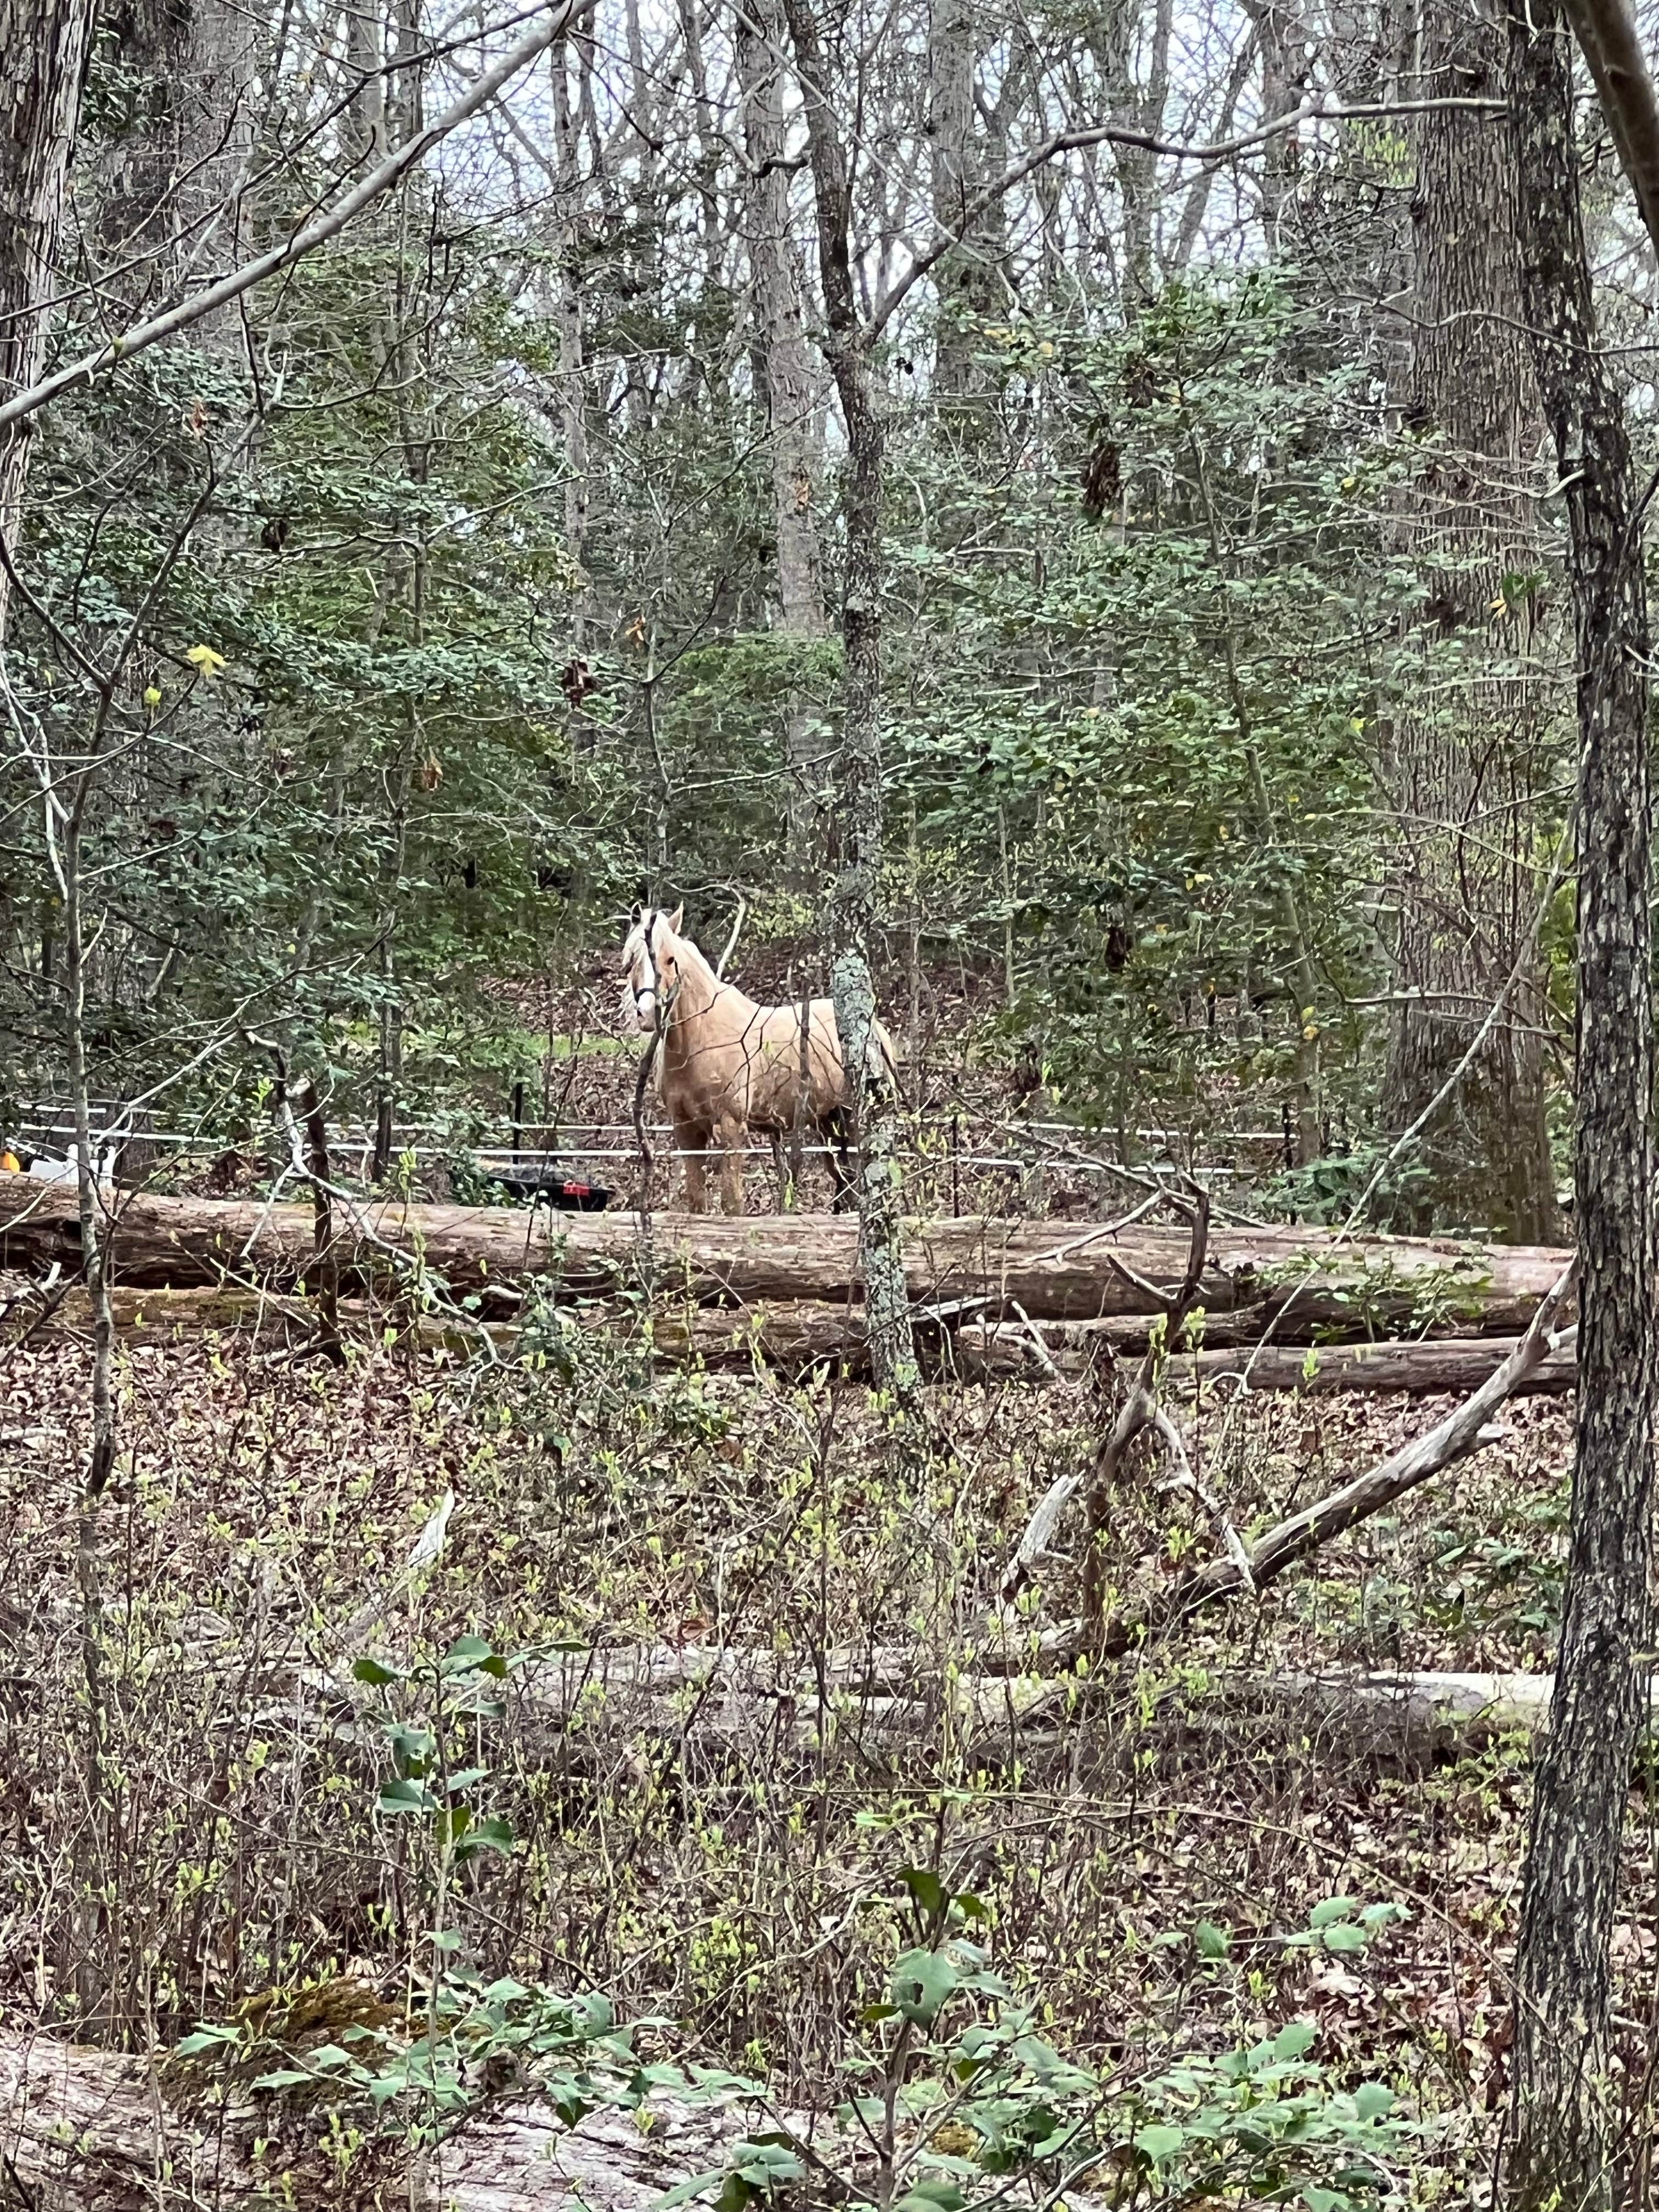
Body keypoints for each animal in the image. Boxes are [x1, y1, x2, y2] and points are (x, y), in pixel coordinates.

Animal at [618, 905, 894, 1213]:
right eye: (631, 960)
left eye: (670, 959)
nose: (646, 1013)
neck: (701, 1037)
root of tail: (876, 1030)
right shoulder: (687, 1130)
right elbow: (696, 1201)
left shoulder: (731, 1127)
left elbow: (732, 1203)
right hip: (828, 1123)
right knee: (844, 1181)